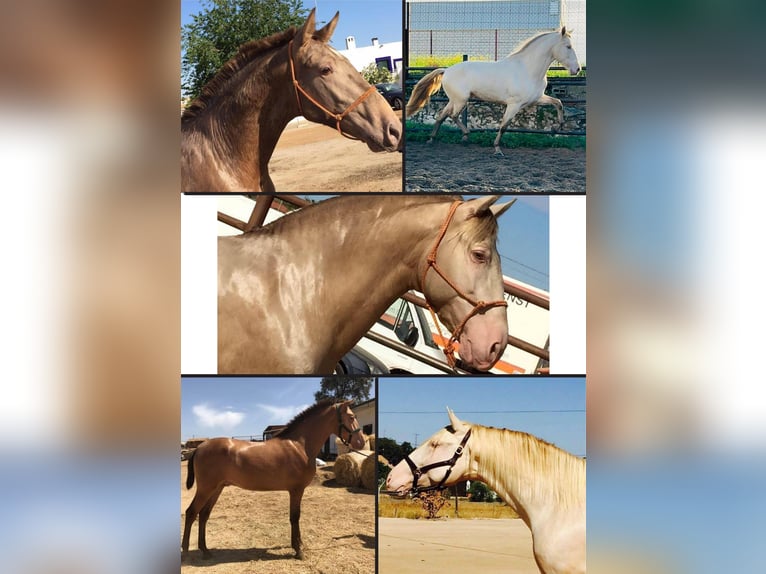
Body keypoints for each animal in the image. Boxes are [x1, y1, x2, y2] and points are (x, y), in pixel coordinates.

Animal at [181, 399, 365, 560]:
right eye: (351, 417)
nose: (361, 442)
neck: (299, 445)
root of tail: (199, 448)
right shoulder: (296, 490)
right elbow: (295, 517)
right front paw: (298, 550)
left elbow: (294, 517)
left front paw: (298, 545)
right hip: (206, 488)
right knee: (191, 513)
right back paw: (185, 552)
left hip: (216, 488)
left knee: (203, 515)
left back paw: (205, 551)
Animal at [406, 27, 581, 156]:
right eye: (568, 46)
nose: (577, 69)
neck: (528, 69)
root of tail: (447, 70)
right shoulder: (514, 104)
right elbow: (504, 125)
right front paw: (497, 149)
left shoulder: (537, 98)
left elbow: (558, 103)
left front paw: (557, 128)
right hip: (461, 100)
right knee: (453, 115)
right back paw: (465, 135)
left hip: (454, 100)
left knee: (442, 115)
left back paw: (432, 139)